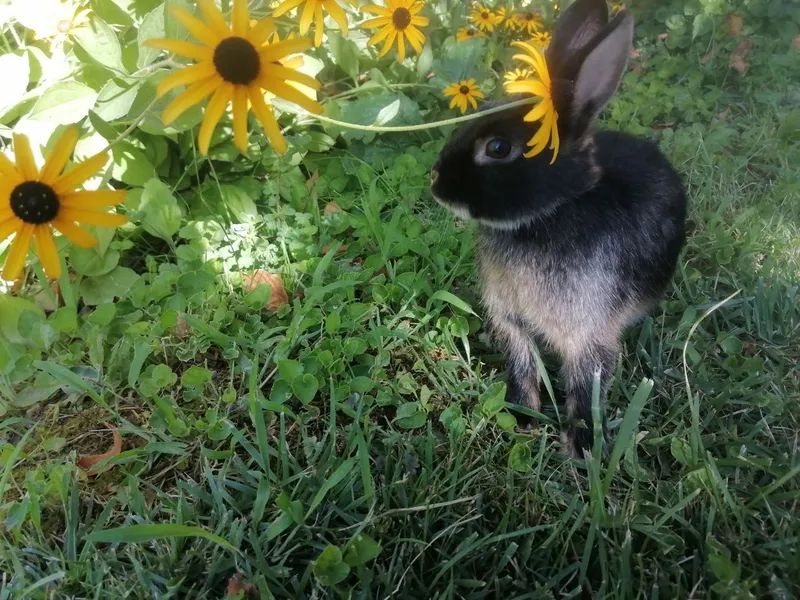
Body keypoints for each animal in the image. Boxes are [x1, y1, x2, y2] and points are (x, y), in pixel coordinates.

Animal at [429, 0, 687, 457]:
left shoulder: (589, 336)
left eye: (498, 148)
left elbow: (586, 387)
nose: (436, 180)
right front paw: (521, 416)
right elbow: (522, 365)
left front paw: (582, 444)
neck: (552, 213)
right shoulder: (512, 323)